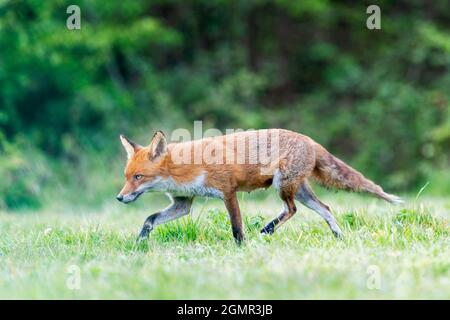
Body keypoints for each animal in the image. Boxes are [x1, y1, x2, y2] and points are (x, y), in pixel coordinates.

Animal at [116, 129, 400, 244]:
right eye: (126, 177)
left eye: (138, 177)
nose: (119, 198)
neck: (183, 169)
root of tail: (310, 139)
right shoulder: (182, 203)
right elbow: (150, 219)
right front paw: (141, 242)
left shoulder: (227, 192)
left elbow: (236, 229)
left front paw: (242, 250)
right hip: (300, 191)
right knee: (326, 208)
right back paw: (338, 237)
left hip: (282, 186)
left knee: (292, 210)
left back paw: (268, 229)